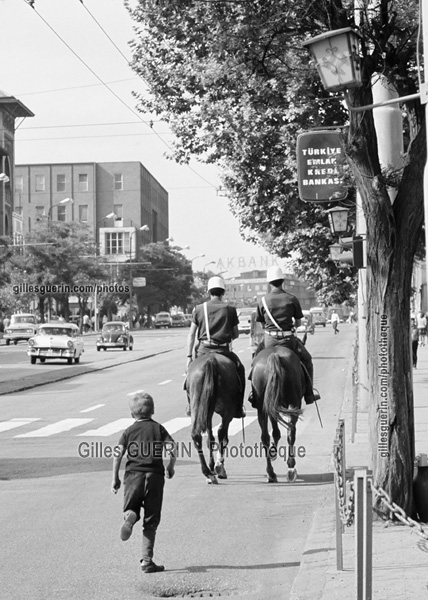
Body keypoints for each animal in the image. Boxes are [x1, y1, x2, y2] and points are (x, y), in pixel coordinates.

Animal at [186, 352, 242, 482]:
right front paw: (217, 466)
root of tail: (211, 360)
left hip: (197, 403)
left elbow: (210, 439)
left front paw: (211, 466)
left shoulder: (207, 411)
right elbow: (222, 438)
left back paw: (208, 472)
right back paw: (219, 467)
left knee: (196, 435)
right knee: (221, 432)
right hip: (228, 410)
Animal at [251, 344, 304, 480]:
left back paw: (271, 473)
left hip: (262, 408)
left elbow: (275, 432)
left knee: (265, 437)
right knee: (291, 431)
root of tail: (274, 355)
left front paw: (273, 452)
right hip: (294, 404)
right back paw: (290, 466)